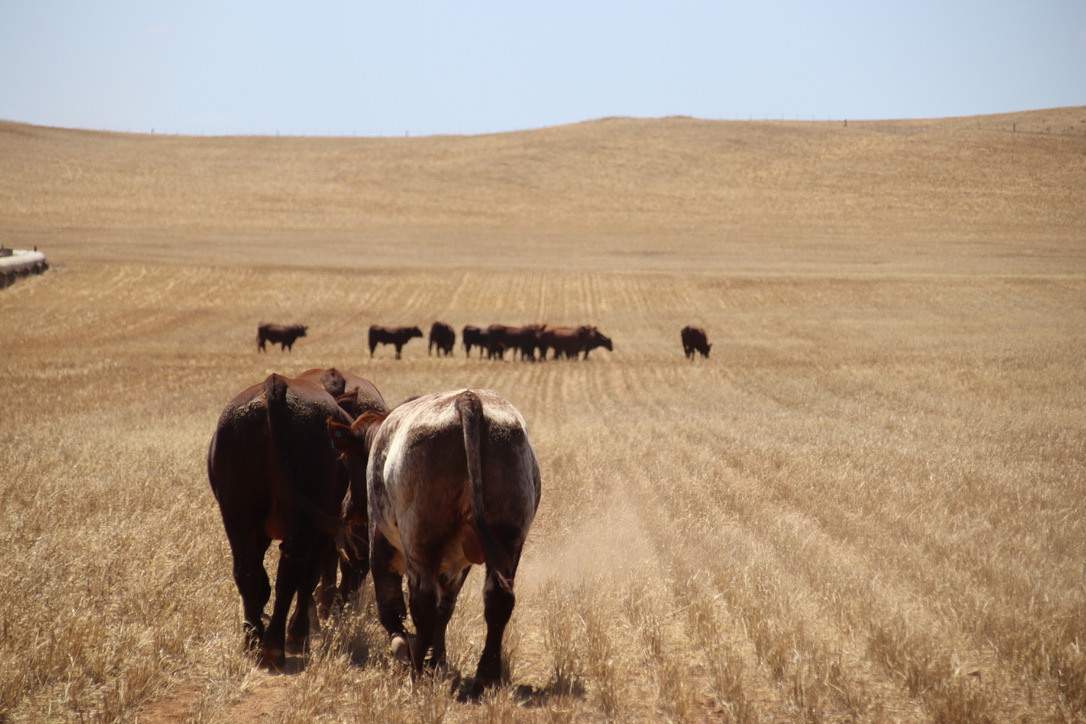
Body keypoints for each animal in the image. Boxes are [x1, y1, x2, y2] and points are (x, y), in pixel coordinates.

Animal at [207, 373, 356, 669]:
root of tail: (275, 385)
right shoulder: (322, 532)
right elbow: (308, 578)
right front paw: (300, 632)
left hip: (236, 514)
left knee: (246, 568)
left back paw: (253, 638)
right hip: (306, 521)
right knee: (292, 571)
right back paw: (278, 643)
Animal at [328, 389, 541, 696]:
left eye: (345, 459)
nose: (346, 507)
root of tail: (468, 400)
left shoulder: (379, 544)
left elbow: (391, 607)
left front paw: (407, 649)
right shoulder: (457, 564)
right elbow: (446, 609)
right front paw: (437, 660)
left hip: (420, 542)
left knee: (423, 602)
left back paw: (416, 672)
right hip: (508, 541)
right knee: (497, 600)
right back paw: (484, 677)